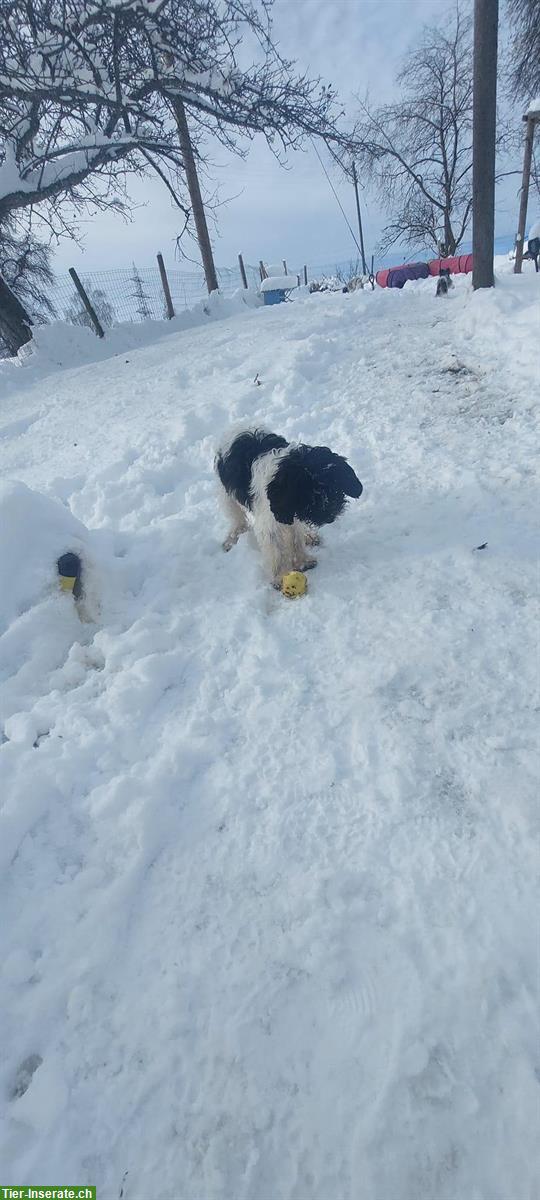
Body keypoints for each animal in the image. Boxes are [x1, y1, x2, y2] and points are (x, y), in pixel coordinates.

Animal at [214, 429, 362, 583]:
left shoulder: (291, 515)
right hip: (227, 495)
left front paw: (303, 561)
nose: (330, 515)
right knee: (237, 518)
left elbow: (296, 538)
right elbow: (277, 550)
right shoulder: (270, 523)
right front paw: (280, 576)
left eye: (334, 486)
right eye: (308, 494)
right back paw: (232, 539)